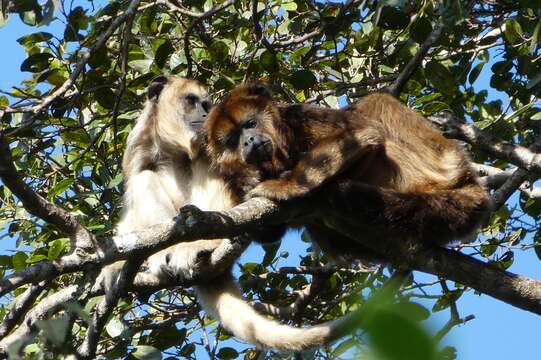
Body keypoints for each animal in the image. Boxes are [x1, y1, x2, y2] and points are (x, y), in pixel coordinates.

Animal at [104, 75, 354, 352]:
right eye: (191, 100)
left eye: (206, 104)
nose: (205, 114)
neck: (175, 147)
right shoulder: (138, 145)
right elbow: (132, 201)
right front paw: (114, 267)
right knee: (145, 177)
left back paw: (203, 245)